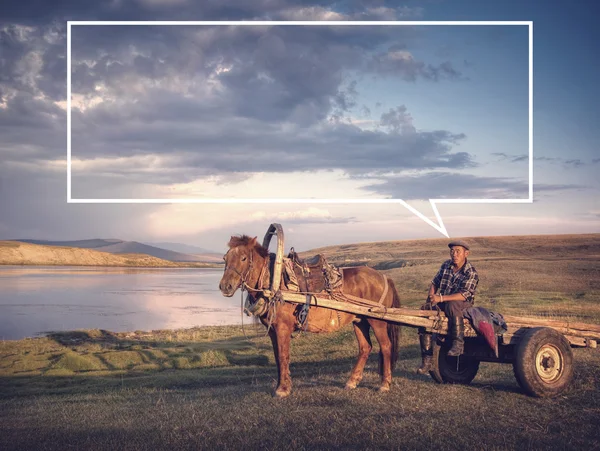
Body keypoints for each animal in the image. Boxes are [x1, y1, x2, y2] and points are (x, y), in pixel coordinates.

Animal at [218, 235, 400, 398]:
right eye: (225, 258)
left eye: (243, 258)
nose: (225, 287)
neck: (274, 284)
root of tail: (384, 276)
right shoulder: (272, 331)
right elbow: (277, 357)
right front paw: (281, 385)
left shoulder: (282, 328)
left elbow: (283, 356)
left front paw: (283, 389)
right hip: (360, 320)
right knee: (365, 347)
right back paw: (352, 381)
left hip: (377, 321)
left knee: (385, 346)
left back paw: (384, 384)